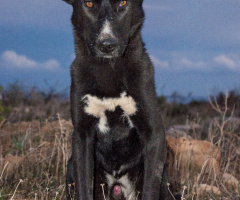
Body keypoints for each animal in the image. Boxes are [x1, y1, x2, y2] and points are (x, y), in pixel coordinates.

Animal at [63, 0, 176, 200]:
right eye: (89, 4)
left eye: (123, 3)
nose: (107, 44)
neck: (109, 69)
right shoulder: (82, 135)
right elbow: (83, 187)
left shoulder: (154, 133)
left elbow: (150, 189)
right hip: (70, 167)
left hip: (165, 177)